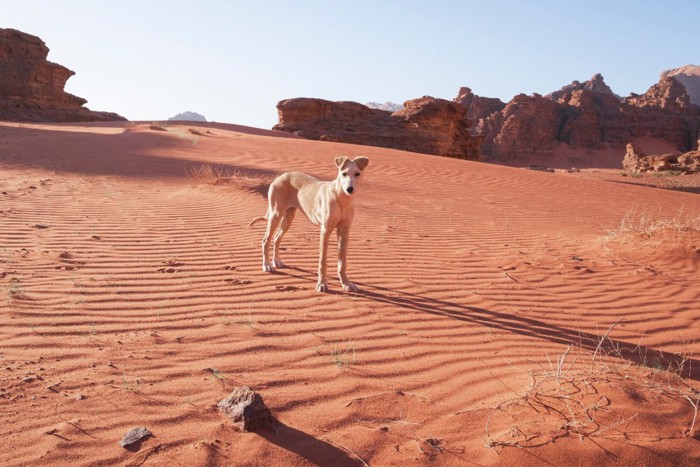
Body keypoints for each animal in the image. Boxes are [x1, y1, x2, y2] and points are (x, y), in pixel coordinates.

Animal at [249, 156, 370, 292]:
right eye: (343, 174)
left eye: (357, 174)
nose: (349, 189)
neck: (342, 199)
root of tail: (280, 177)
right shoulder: (325, 231)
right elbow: (322, 261)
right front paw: (321, 284)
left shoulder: (344, 231)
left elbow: (342, 262)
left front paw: (346, 283)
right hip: (276, 214)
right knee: (266, 240)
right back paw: (267, 265)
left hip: (288, 217)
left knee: (276, 238)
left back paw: (277, 261)